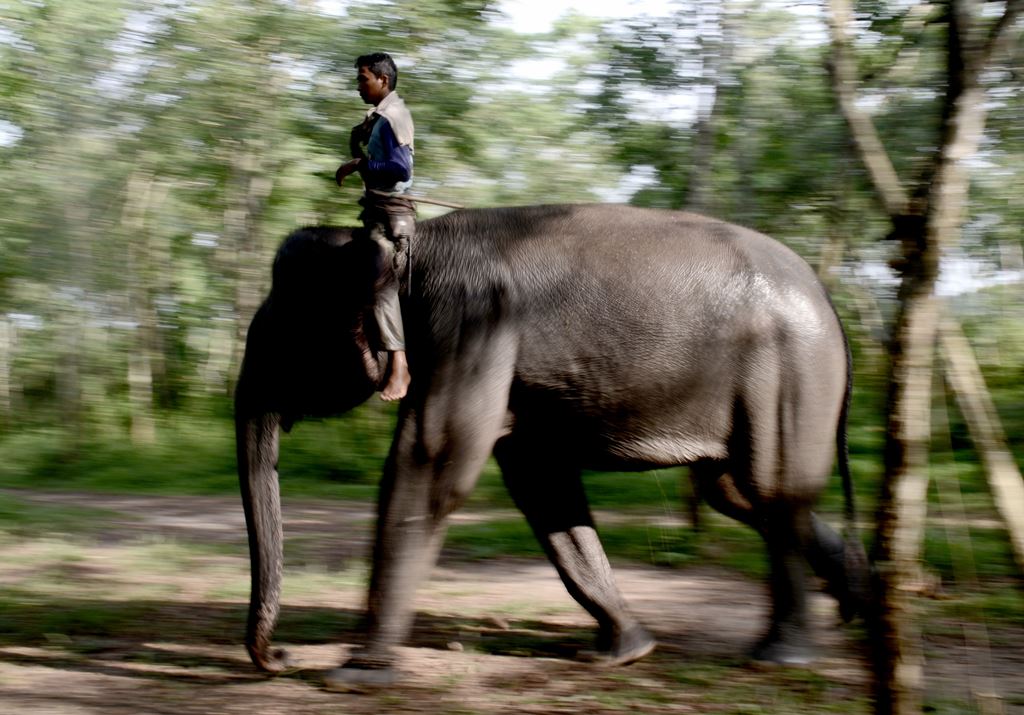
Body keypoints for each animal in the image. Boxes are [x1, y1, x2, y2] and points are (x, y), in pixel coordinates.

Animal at [234, 203, 869, 687]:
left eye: (287, 329)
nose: (280, 657)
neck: (409, 246)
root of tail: (830, 303)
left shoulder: (470, 328)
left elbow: (432, 465)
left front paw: (355, 675)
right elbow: (543, 490)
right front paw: (623, 651)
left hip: (789, 373)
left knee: (774, 491)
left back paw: (782, 656)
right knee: (739, 492)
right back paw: (855, 603)